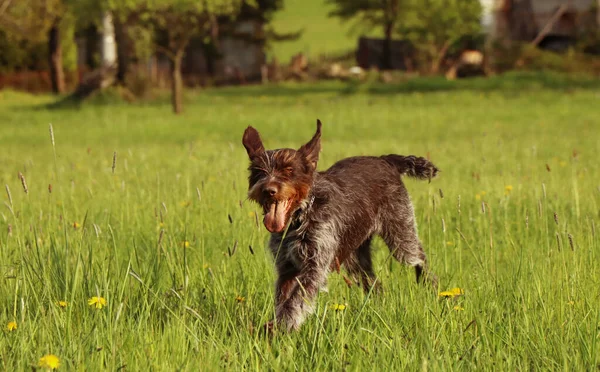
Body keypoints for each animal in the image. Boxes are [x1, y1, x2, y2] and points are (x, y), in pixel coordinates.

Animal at [241, 120, 438, 332]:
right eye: (258, 172)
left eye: (289, 170)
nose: (268, 190)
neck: (301, 217)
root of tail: (384, 160)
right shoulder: (286, 268)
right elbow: (282, 298)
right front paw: (275, 327)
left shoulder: (315, 267)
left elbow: (295, 300)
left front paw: (283, 326)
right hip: (355, 257)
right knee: (375, 284)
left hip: (401, 235)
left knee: (418, 257)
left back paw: (429, 286)